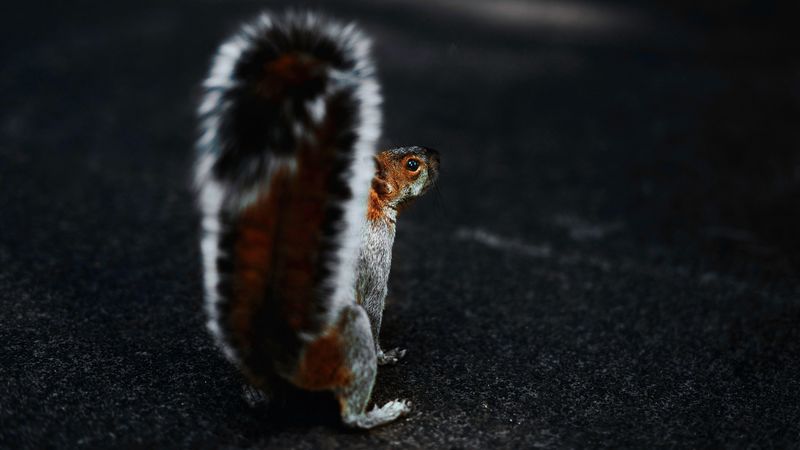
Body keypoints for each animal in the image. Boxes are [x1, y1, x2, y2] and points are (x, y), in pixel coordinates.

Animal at [194, 12, 439, 429]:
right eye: (412, 165)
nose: (434, 153)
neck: (371, 205)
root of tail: (281, 357)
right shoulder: (374, 254)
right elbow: (374, 308)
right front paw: (386, 355)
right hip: (348, 341)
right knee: (348, 410)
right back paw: (378, 414)